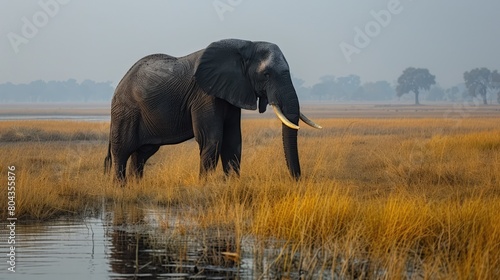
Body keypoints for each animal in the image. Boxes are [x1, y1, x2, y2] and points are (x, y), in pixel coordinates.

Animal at [105, 38, 322, 183]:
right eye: (266, 74)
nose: (297, 180)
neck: (245, 45)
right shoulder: (204, 94)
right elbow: (212, 138)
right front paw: (204, 185)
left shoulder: (232, 90)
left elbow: (233, 139)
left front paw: (232, 184)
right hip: (126, 111)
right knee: (122, 151)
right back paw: (120, 187)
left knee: (142, 153)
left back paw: (136, 185)